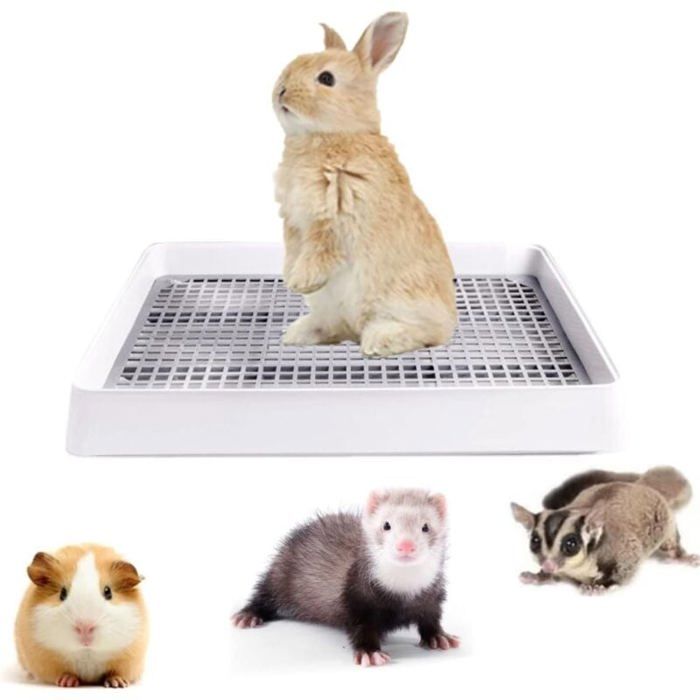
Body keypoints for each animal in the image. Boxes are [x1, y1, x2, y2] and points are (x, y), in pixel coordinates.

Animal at [273, 12, 457, 357]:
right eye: (294, 63)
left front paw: (300, 281)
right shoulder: (293, 221)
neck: (333, 135)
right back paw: (297, 333)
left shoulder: (333, 216)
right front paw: (290, 277)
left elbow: (319, 250)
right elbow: (293, 249)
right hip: (333, 310)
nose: (281, 91)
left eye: (326, 78)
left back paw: (379, 340)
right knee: (335, 327)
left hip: (402, 298)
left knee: (427, 333)